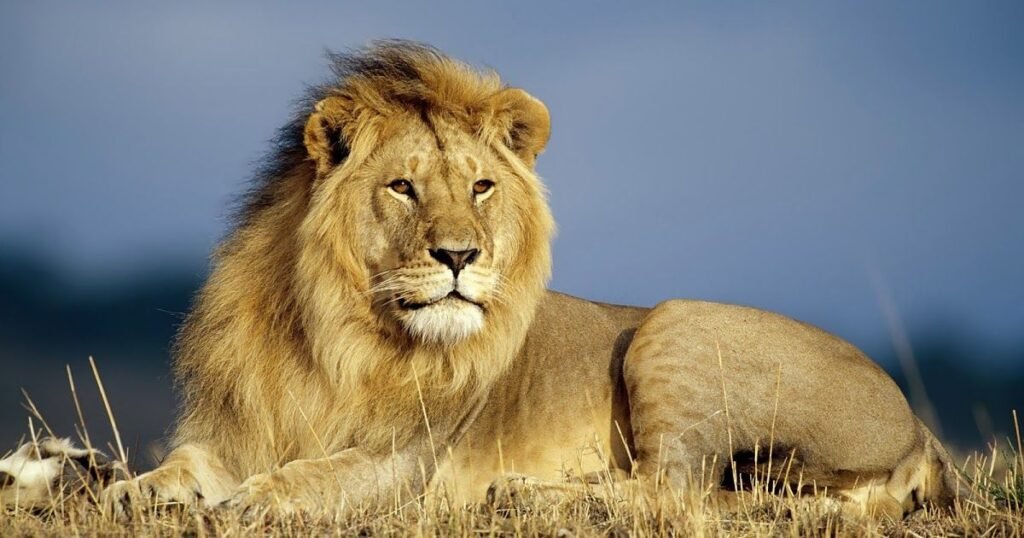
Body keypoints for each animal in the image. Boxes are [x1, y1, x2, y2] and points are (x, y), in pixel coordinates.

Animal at [33, 41, 954, 519]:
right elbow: (180, 467)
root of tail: (918, 430)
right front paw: (121, 491)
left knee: (673, 496)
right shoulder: (233, 429)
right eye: (403, 187)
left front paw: (251, 504)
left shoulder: (407, 462)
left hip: (673, 323)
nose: (458, 257)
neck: (333, 333)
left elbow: (314, 477)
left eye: (479, 186)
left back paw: (526, 494)